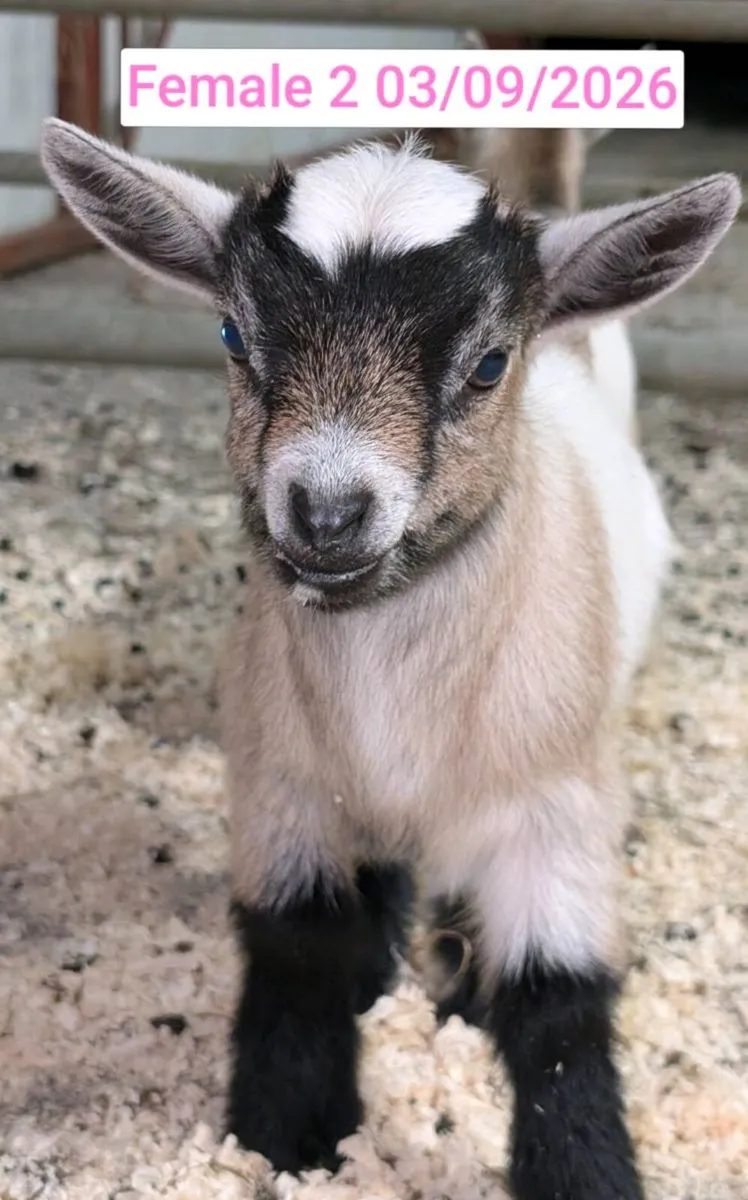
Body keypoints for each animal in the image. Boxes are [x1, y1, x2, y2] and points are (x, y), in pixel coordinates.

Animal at [40, 118, 740, 1200]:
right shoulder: (283, 787)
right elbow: (296, 950)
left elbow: (559, 1008)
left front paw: (584, 1168)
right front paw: (284, 1132)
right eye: (233, 336)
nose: (327, 513)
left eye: (489, 365)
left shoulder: (556, 805)